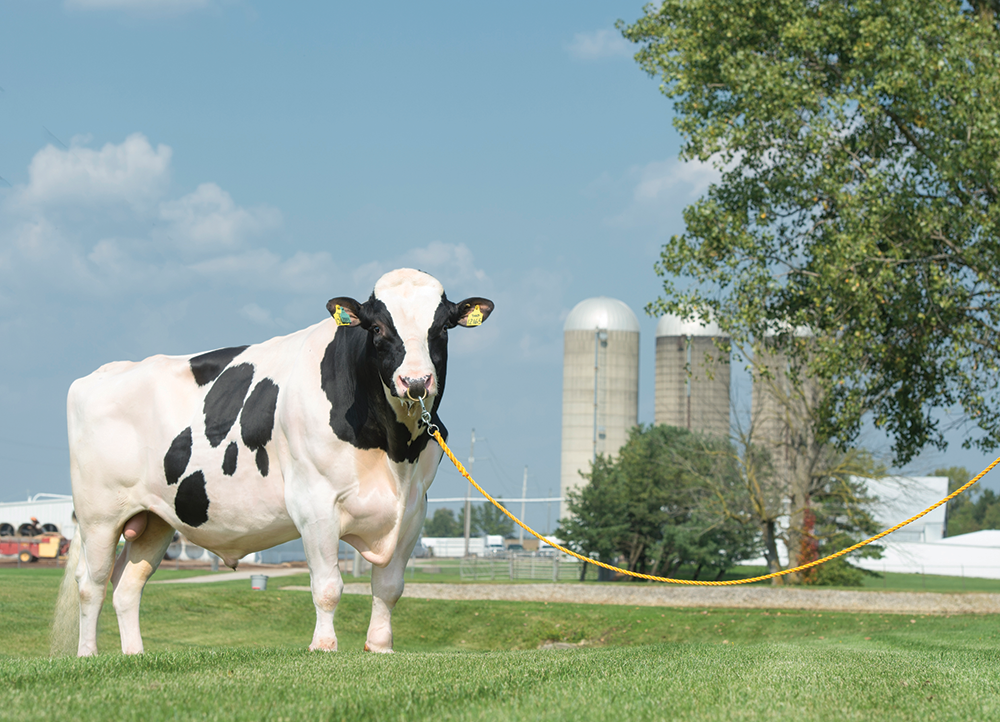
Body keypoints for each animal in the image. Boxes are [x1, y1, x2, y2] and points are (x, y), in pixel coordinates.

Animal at [57, 268, 492, 652]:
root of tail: (100, 374)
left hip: (155, 518)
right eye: (377, 329)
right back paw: (87, 654)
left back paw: (134, 654)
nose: (416, 381)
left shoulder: (414, 507)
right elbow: (328, 586)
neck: (394, 448)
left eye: (442, 328)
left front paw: (380, 647)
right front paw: (323, 646)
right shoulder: (314, 502)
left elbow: (389, 587)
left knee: (127, 586)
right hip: (99, 514)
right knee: (91, 584)